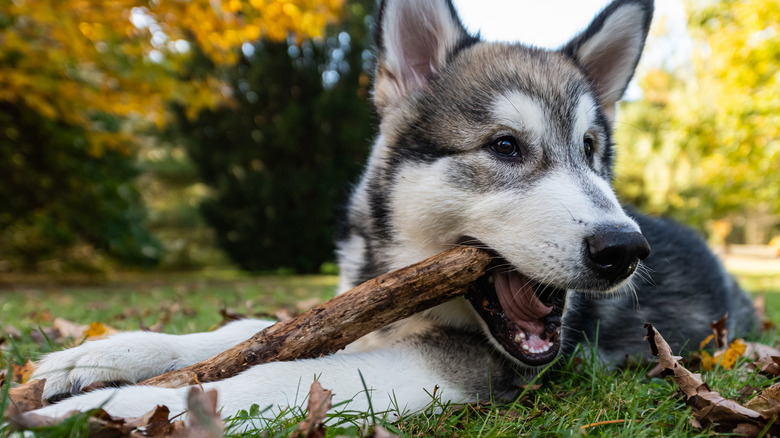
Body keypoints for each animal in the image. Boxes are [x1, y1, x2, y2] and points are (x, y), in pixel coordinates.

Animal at [30, 0, 756, 424]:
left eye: (591, 151)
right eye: (505, 146)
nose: (623, 250)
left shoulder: (469, 366)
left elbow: (293, 368)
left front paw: (124, 402)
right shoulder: (353, 310)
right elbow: (258, 329)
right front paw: (104, 356)